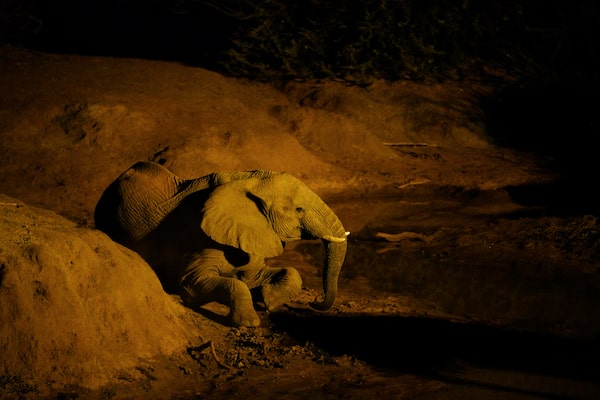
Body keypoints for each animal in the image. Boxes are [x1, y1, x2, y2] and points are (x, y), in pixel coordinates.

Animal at [92, 161, 346, 326]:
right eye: (299, 209)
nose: (315, 302)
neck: (246, 179)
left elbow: (273, 274)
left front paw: (268, 299)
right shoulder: (199, 234)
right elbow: (194, 284)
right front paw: (249, 322)